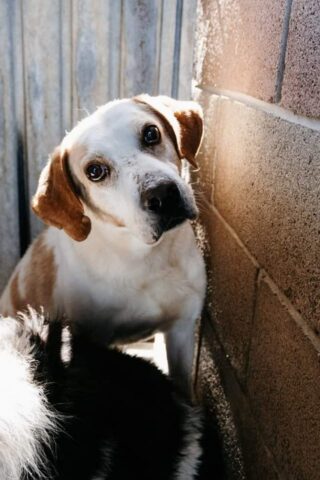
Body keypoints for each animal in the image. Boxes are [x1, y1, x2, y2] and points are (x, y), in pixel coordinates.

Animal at [0, 94, 205, 394]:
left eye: (151, 133)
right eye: (95, 171)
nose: (162, 195)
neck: (145, 260)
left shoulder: (181, 329)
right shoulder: (90, 343)